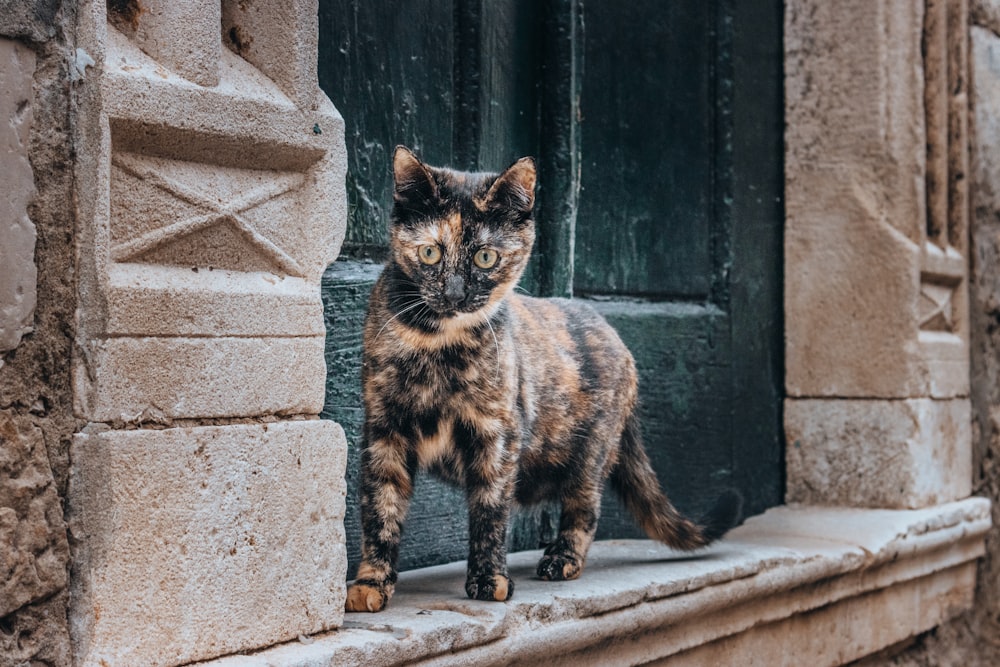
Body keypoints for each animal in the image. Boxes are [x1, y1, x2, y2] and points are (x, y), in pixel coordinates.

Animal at [346, 147, 744, 616]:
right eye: (430, 253)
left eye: (485, 257)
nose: (456, 294)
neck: (436, 344)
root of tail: (616, 337)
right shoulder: (383, 431)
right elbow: (380, 509)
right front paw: (372, 581)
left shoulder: (496, 434)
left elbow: (490, 511)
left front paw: (489, 578)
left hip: (591, 452)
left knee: (585, 506)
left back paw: (562, 558)